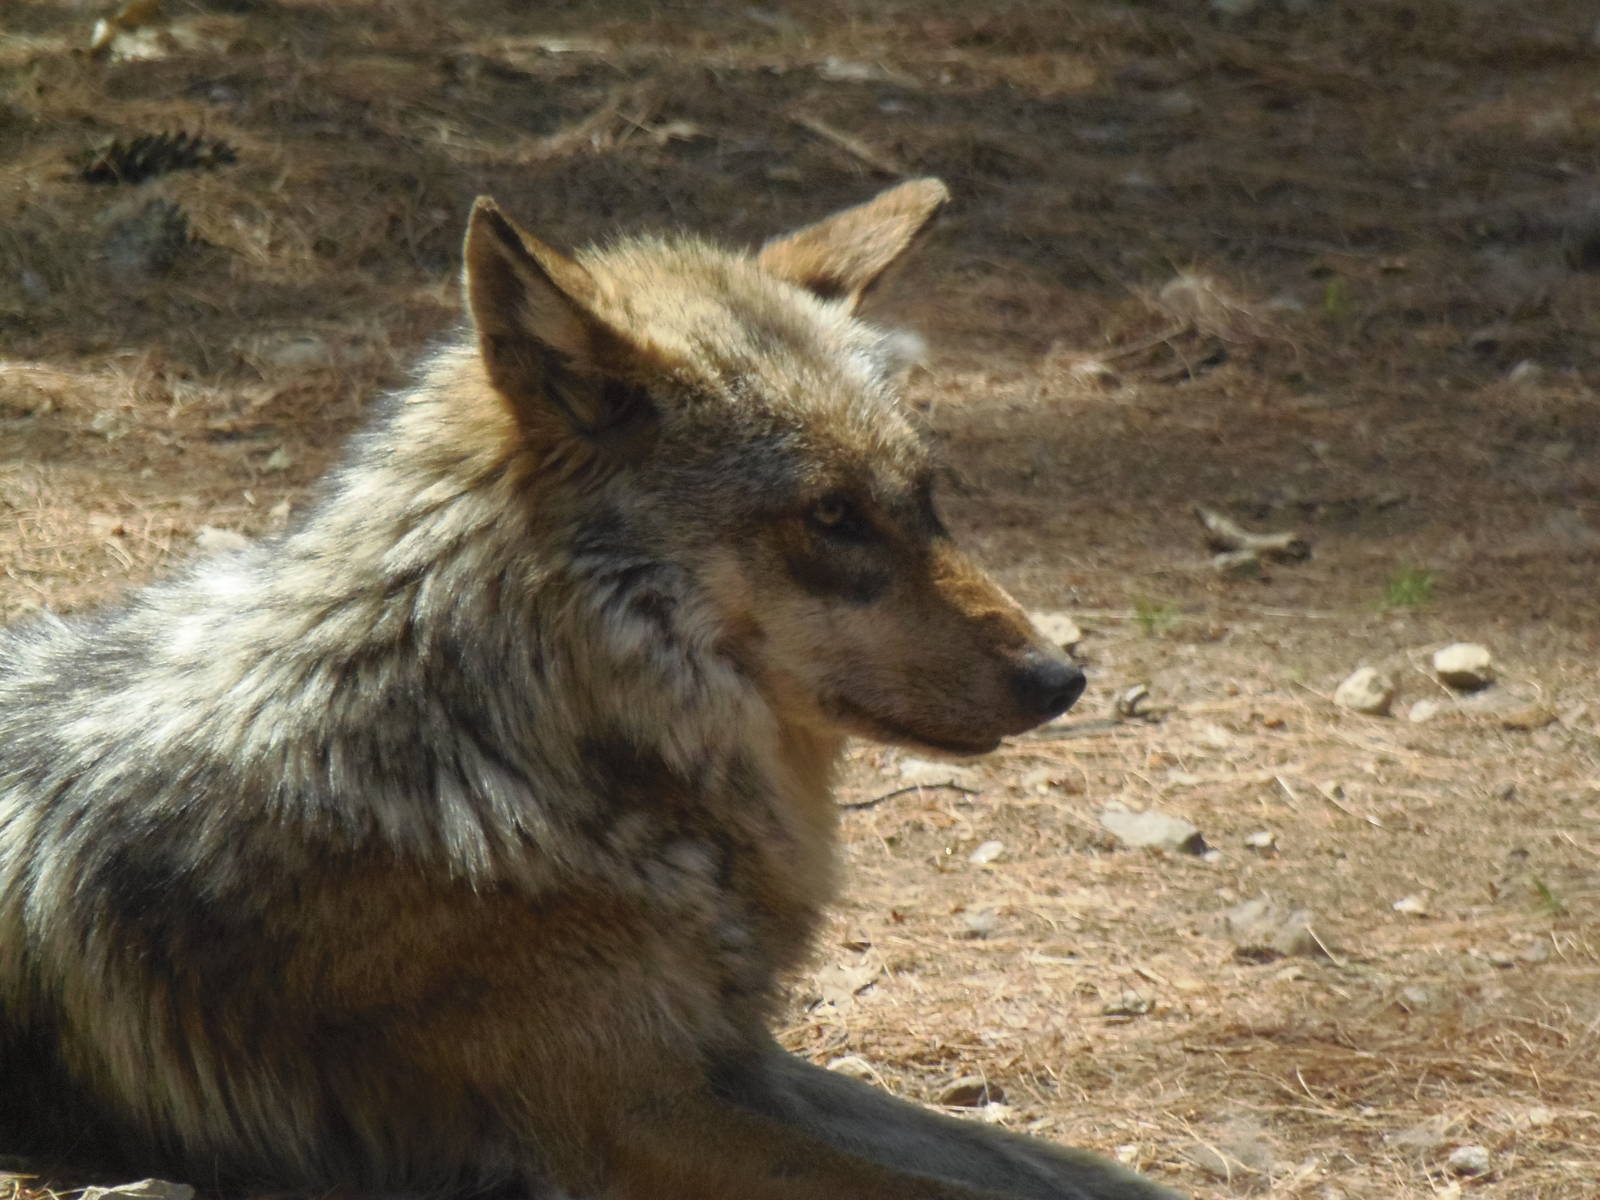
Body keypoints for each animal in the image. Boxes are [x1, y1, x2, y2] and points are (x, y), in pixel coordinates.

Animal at [0, 180, 1181, 1199]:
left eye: (925, 500)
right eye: (832, 516)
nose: (1061, 679)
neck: (509, 745)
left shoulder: (732, 1062)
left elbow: (1059, 1170)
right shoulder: (631, 1123)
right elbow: (936, 1191)